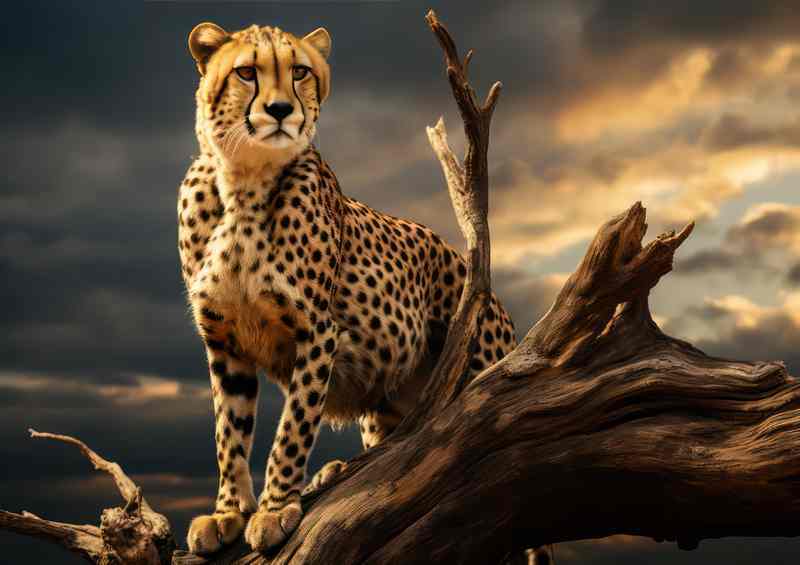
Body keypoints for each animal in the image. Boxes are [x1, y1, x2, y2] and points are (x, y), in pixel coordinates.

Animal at [177, 21, 518, 555]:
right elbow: (228, 434)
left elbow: (294, 425)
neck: (243, 179)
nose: (281, 110)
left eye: (299, 71)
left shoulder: (318, 330)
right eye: (247, 73)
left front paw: (274, 508)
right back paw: (333, 471)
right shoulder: (224, 341)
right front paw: (227, 512)